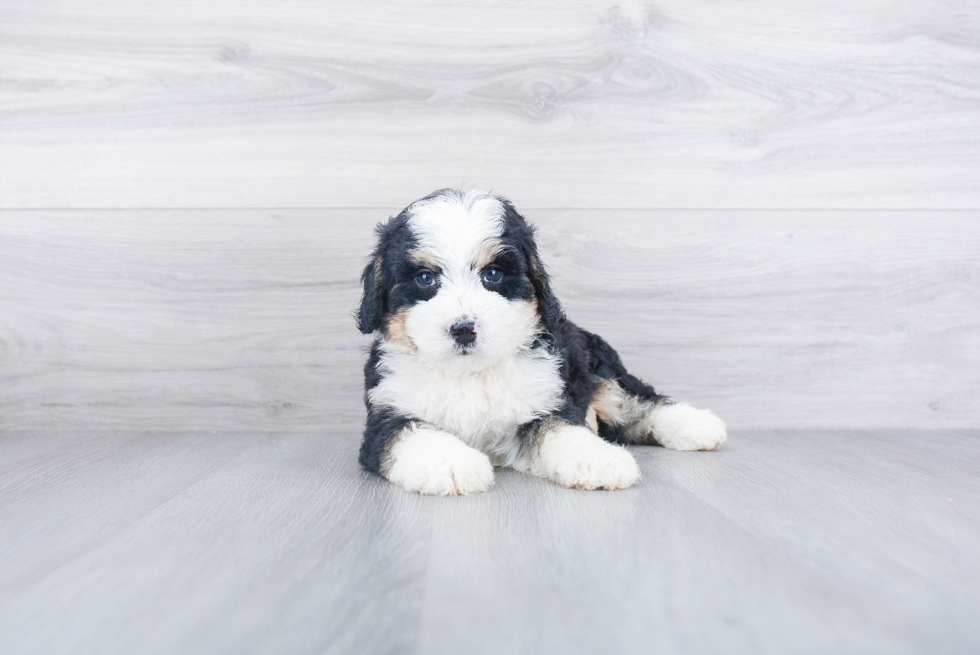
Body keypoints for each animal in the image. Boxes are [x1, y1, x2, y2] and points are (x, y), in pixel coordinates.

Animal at [356, 190, 724, 498]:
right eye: (424, 278)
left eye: (493, 274)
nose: (463, 329)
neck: (471, 375)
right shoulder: (387, 414)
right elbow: (413, 432)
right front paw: (451, 464)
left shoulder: (545, 401)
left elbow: (560, 429)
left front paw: (597, 460)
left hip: (600, 370)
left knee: (639, 403)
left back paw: (698, 426)